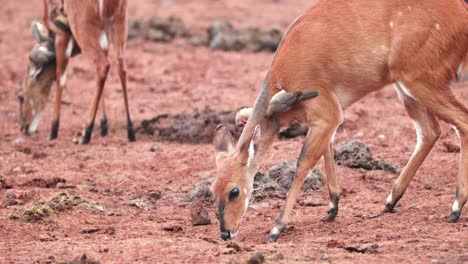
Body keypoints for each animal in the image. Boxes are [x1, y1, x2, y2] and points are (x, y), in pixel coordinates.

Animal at [18, 0, 135, 144]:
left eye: (21, 97)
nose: (23, 127)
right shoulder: (103, 35)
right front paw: (104, 126)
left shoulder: (62, 36)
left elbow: (60, 78)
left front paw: (53, 131)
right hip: (119, 25)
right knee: (121, 67)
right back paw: (130, 131)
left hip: (84, 30)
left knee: (103, 65)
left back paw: (86, 134)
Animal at [212, 0, 468, 241]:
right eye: (213, 190)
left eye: (234, 191)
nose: (225, 233)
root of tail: (461, 14)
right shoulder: (325, 118)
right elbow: (328, 149)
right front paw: (332, 208)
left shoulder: (328, 112)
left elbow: (303, 162)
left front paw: (276, 229)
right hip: (405, 85)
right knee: (430, 130)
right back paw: (390, 201)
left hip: (419, 79)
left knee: (461, 121)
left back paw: (455, 208)